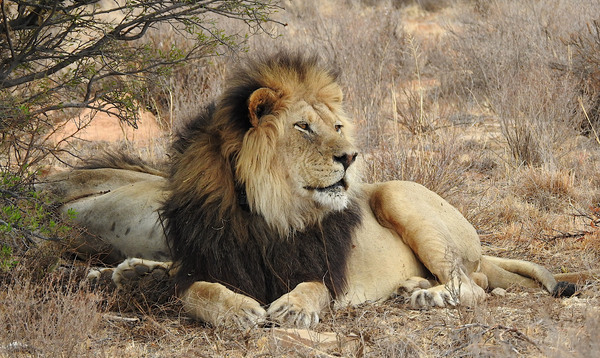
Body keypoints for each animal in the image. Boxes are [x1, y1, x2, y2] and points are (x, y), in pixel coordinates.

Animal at [36, 51, 580, 328]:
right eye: (303, 127)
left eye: (338, 126)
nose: (350, 156)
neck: (262, 210)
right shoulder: (206, 262)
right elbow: (197, 292)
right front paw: (238, 309)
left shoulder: (321, 270)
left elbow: (313, 289)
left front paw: (293, 308)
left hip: (398, 195)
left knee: (474, 286)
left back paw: (429, 297)